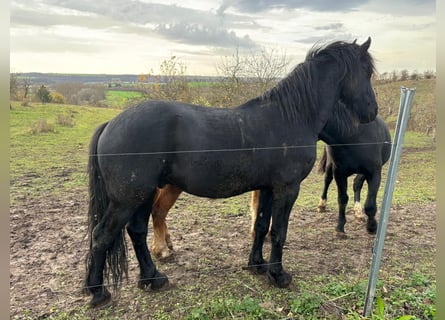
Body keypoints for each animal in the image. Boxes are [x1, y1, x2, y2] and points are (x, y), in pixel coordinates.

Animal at [85, 38, 376, 308]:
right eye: (367, 72)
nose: (371, 112)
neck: (291, 117)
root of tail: (111, 124)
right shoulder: (287, 188)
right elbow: (279, 231)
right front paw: (278, 275)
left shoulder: (268, 188)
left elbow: (261, 226)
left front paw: (257, 265)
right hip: (127, 199)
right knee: (102, 236)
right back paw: (98, 292)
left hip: (141, 196)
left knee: (136, 231)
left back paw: (152, 278)